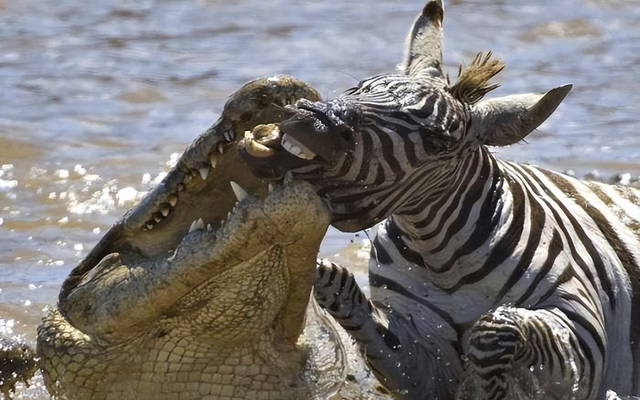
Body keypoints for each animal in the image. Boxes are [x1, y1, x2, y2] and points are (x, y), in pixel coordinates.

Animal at [240, 0, 640, 400]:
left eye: (436, 142)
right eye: (359, 87)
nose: (313, 121)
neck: (442, 259)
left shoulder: (583, 336)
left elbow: (492, 331)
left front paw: (488, 388)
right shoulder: (420, 361)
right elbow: (338, 284)